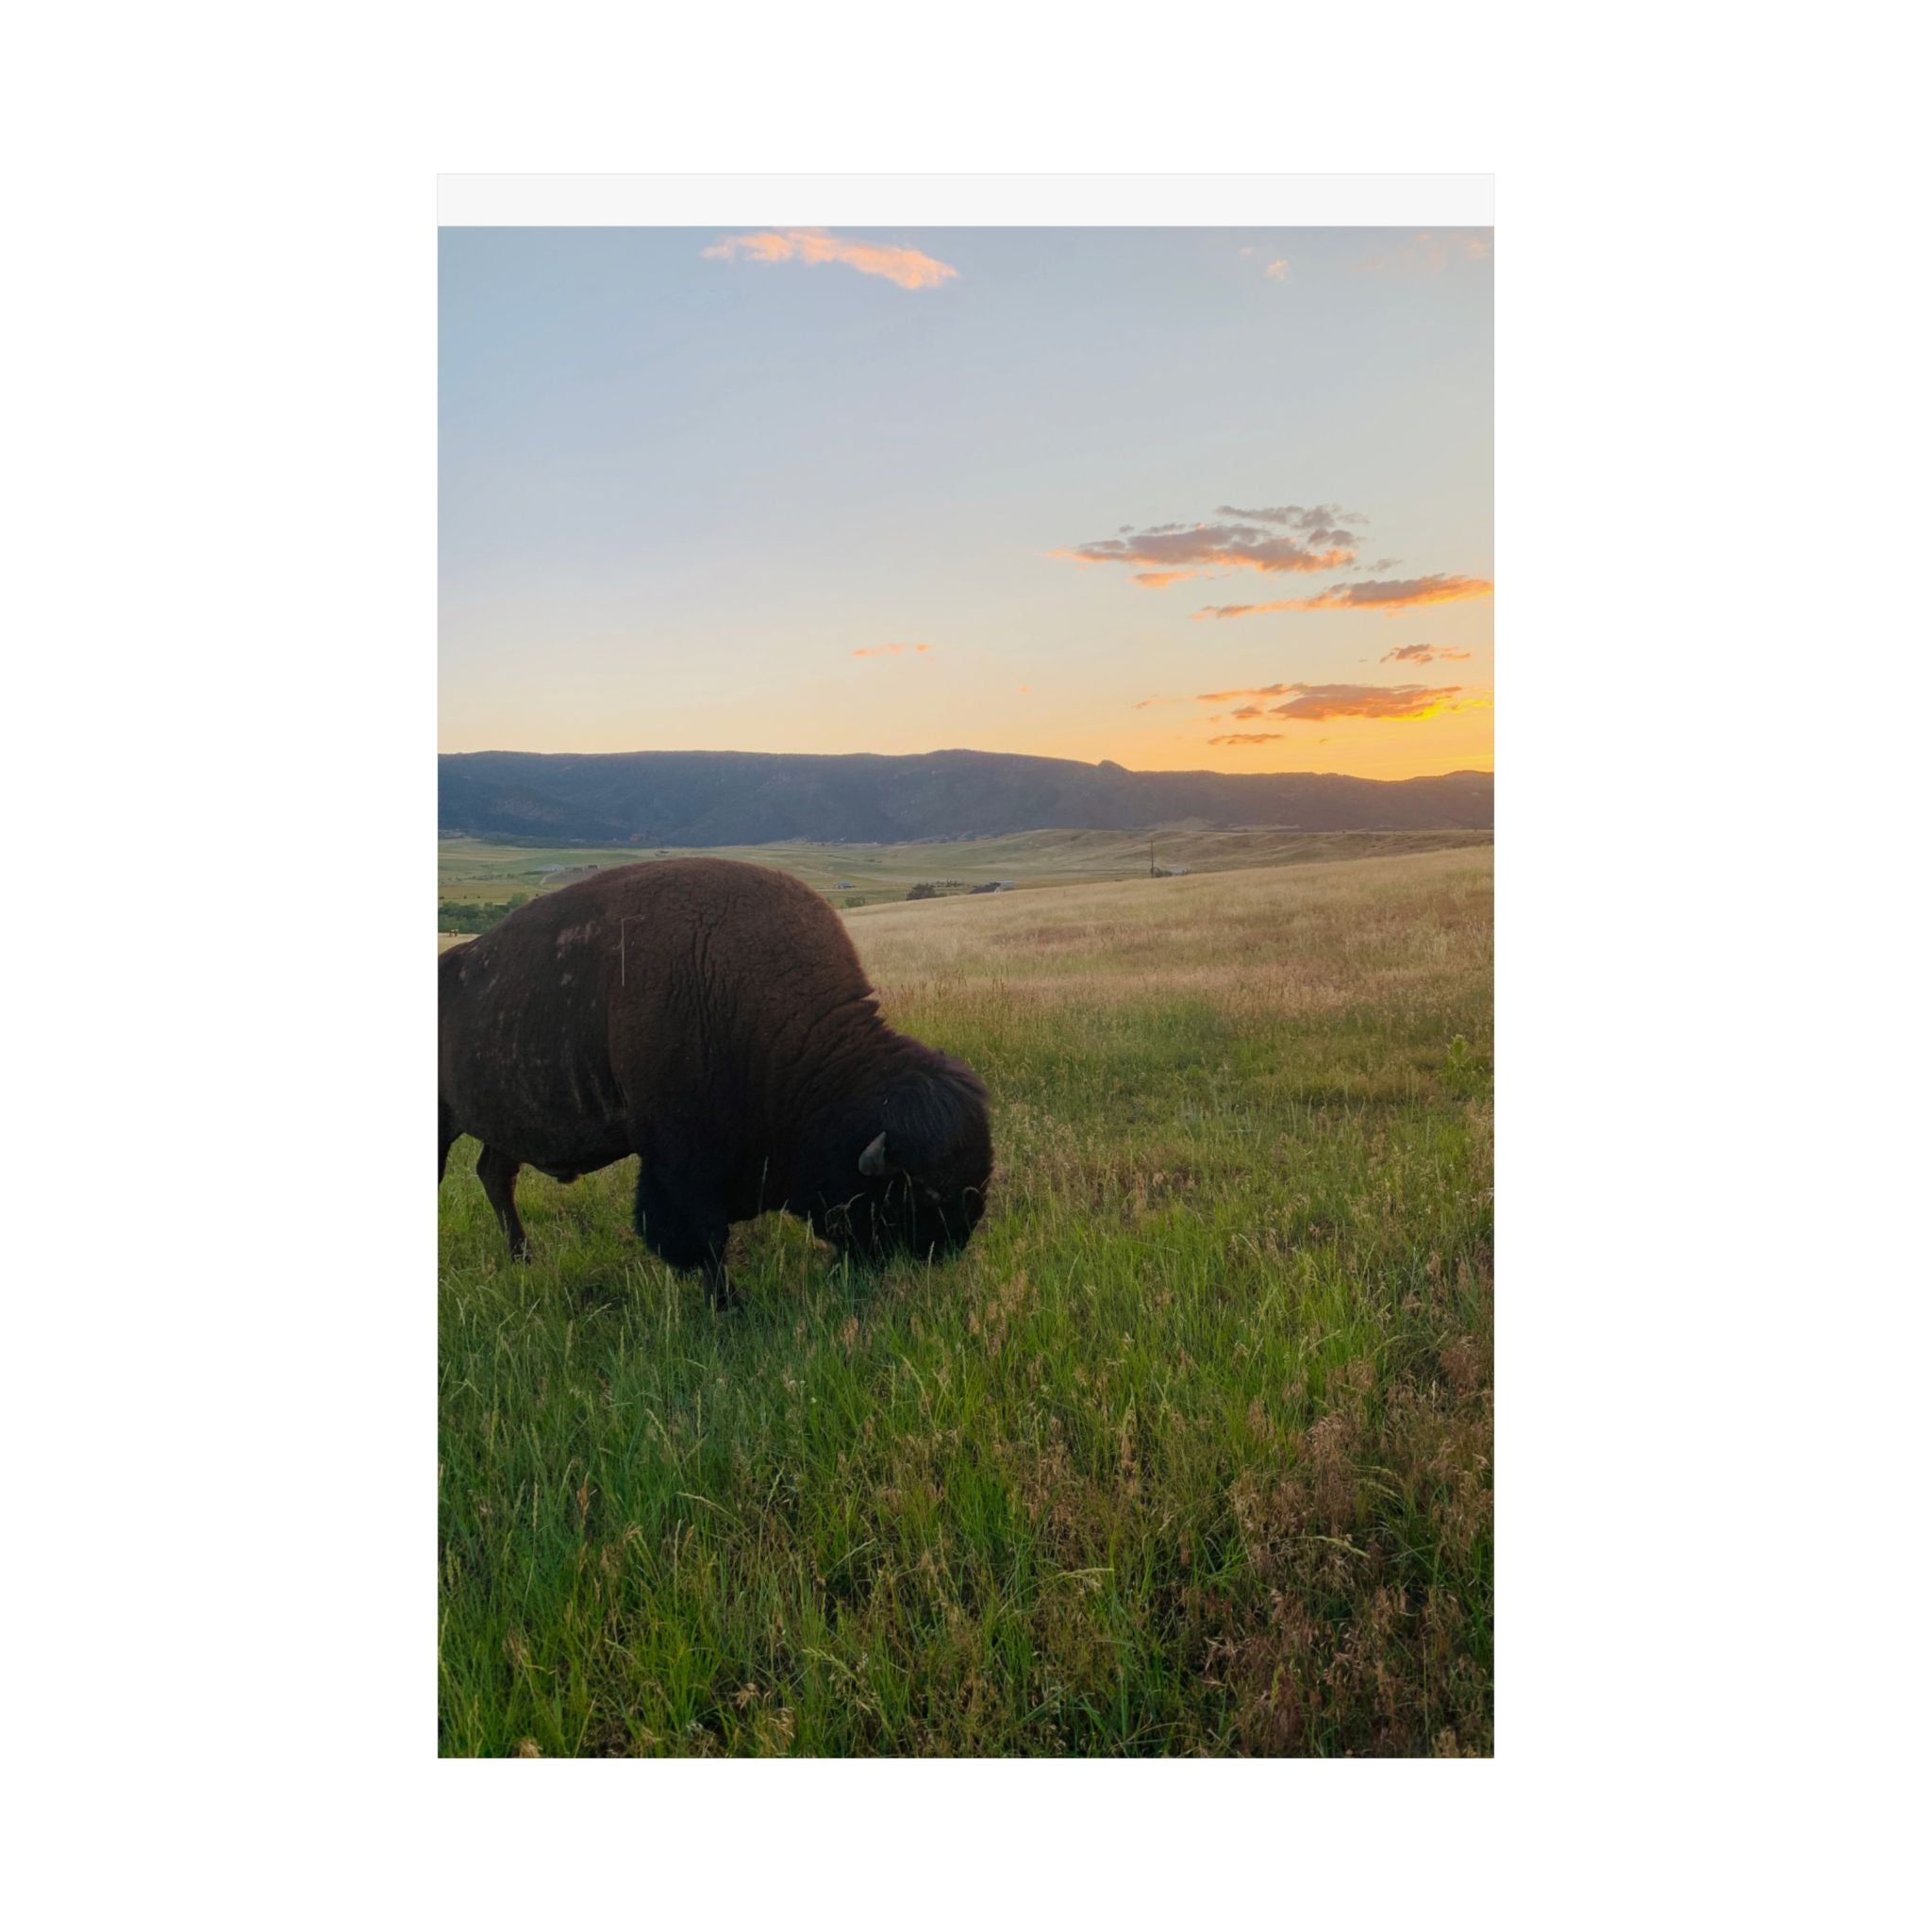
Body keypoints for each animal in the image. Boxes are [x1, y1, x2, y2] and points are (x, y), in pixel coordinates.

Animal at [438, 858, 992, 1303]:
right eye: (923, 1194)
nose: (946, 1251)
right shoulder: (680, 1161)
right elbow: (703, 1235)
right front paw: (727, 1305)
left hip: (504, 1123)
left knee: (495, 1175)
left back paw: (524, 1259)